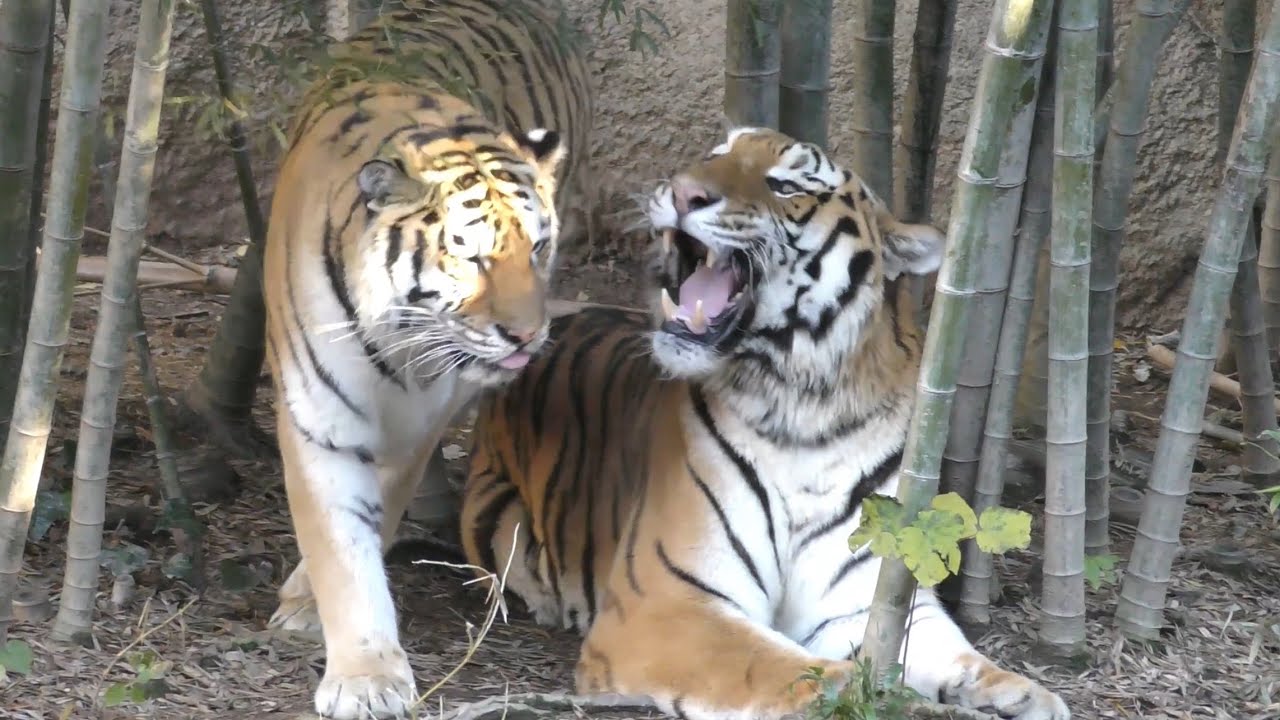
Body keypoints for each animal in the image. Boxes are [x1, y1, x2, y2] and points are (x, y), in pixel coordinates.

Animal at [260, 1, 592, 717]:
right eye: (471, 256)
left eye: (539, 248)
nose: (526, 336)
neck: (396, 341)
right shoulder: (319, 417)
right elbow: (340, 544)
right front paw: (364, 677)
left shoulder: (415, 426)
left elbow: (379, 510)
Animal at [457, 128, 1071, 720]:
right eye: (714, 155)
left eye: (785, 185)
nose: (683, 191)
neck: (805, 410)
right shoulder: (665, 600)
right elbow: (769, 663)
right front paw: (857, 692)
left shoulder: (862, 600)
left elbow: (951, 651)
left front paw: (1022, 694)